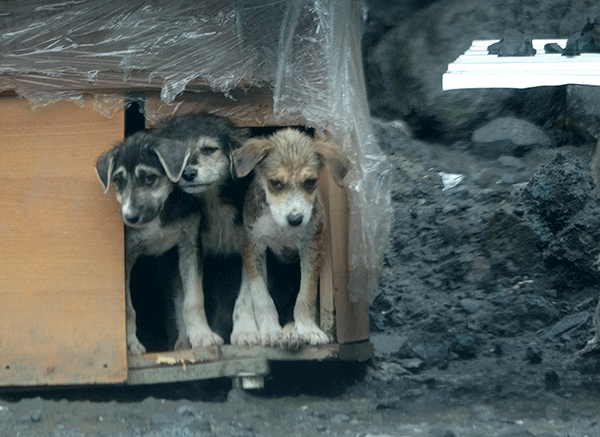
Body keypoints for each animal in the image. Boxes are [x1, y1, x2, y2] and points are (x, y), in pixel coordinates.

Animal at [95, 130, 224, 354]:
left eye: (149, 178)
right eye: (119, 181)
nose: (130, 217)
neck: (158, 217)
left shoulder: (190, 246)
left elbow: (193, 298)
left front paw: (202, 335)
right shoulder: (128, 257)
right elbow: (128, 308)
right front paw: (130, 344)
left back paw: (183, 342)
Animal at [155, 112, 251, 340]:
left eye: (209, 150)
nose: (188, 173)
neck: (212, 199)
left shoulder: (247, 247)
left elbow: (245, 295)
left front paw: (246, 331)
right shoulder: (187, 249)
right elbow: (188, 298)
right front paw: (194, 337)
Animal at [231, 127, 352, 346]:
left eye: (310, 182)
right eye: (275, 183)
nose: (295, 219)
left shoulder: (312, 249)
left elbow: (305, 295)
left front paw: (307, 329)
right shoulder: (253, 246)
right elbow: (261, 296)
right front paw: (270, 330)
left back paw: (291, 333)